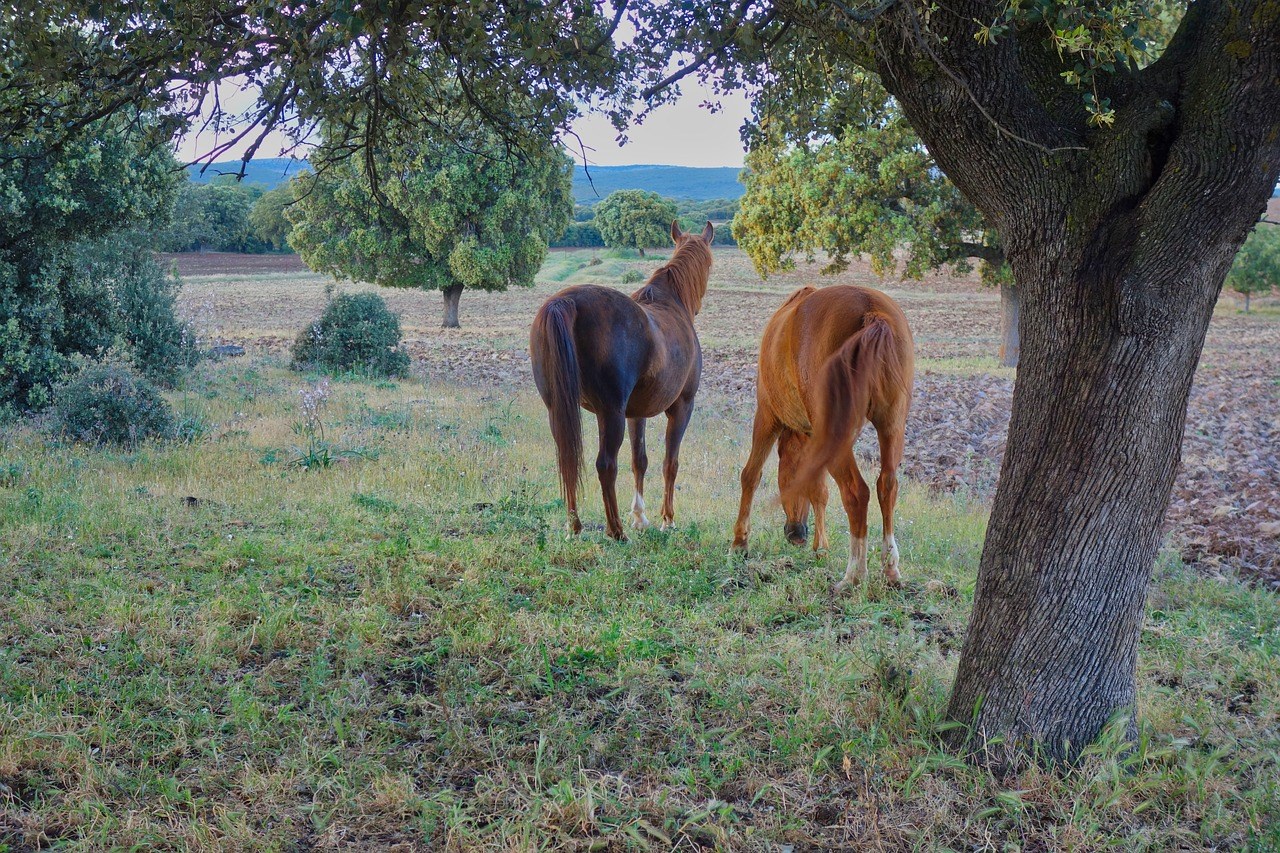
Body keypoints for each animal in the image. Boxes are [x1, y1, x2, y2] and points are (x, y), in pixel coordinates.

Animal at [524, 219, 716, 537]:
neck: (672, 303)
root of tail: (566, 302)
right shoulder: (681, 407)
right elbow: (670, 462)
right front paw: (667, 519)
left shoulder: (635, 413)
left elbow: (640, 461)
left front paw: (640, 516)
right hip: (610, 413)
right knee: (606, 464)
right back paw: (615, 531)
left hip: (558, 408)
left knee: (567, 458)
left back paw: (574, 526)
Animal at [732, 281, 911, 589]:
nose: (796, 534)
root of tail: (871, 310)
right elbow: (819, 490)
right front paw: (821, 548)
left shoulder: (767, 416)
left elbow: (751, 475)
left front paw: (740, 542)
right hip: (891, 426)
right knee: (887, 485)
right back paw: (890, 568)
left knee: (856, 492)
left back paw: (853, 575)